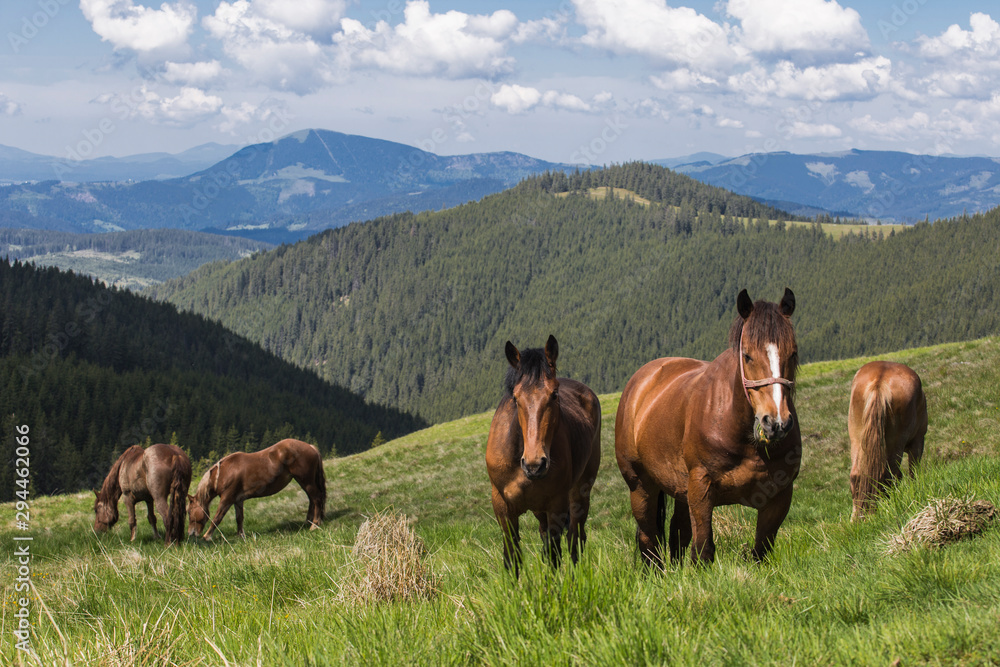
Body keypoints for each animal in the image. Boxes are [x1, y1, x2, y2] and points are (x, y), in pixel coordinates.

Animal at [188, 438, 326, 540]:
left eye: (189, 511)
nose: (191, 533)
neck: (224, 473)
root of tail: (311, 447)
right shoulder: (238, 500)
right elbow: (239, 518)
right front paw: (240, 535)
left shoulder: (227, 499)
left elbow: (217, 517)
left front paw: (207, 536)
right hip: (303, 481)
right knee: (312, 499)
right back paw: (308, 522)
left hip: (306, 481)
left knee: (316, 498)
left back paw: (314, 524)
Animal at [485, 335, 602, 576]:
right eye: (515, 397)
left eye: (554, 394)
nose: (535, 464)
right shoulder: (502, 508)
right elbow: (512, 557)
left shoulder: (556, 505)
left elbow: (554, 555)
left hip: (579, 493)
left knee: (575, 538)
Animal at [616, 288, 800, 567]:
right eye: (747, 355)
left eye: (793, 353)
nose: (776, 423)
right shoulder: (701, 489)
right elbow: (702, 550)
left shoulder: (779, 498)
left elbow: (760, 551)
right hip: (640, 487)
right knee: (649, 541)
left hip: (679, 489)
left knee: (677, 532)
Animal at [848, 361, 928, 521]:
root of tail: (879, 382)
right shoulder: (918, 441)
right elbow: (913, 471)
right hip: (896, 443)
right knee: (888, 476)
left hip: (857, 438)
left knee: (856, 476)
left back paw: (856, 518)